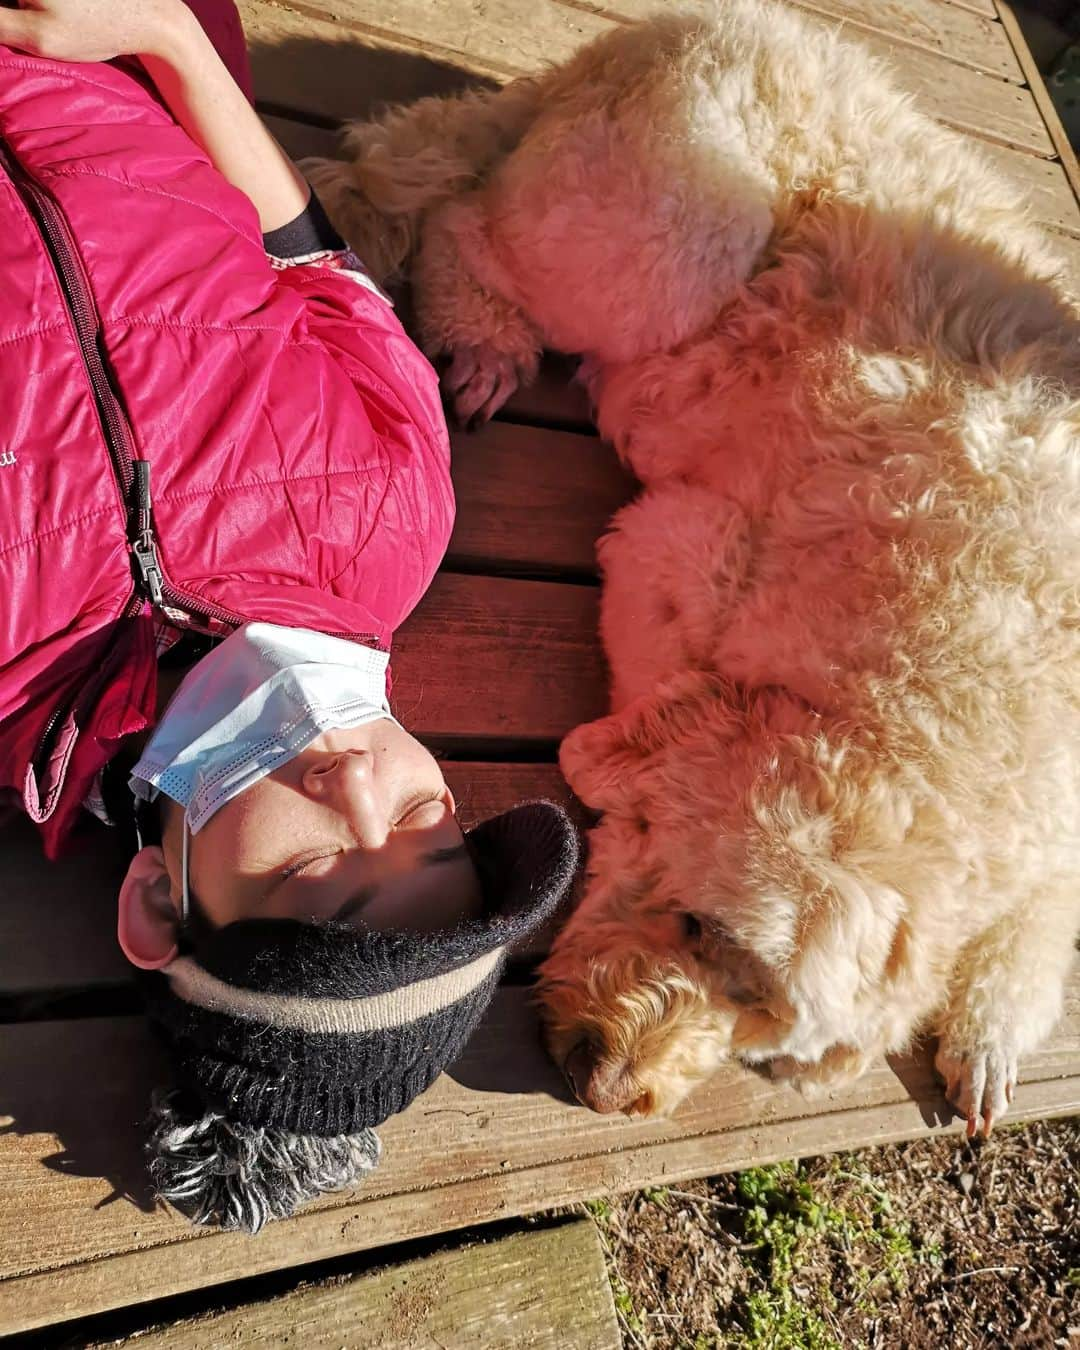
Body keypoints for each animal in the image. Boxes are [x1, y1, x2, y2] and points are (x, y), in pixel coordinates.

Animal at [307, 0, 1080, 1134]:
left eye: (762, 1038)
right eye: (700, 929)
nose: (606, 1090)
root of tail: (666, 28)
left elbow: (1041, 921)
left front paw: (990, 1036)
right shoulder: (670, 539)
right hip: (684, 231)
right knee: (466, 221)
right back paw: (488, 338)